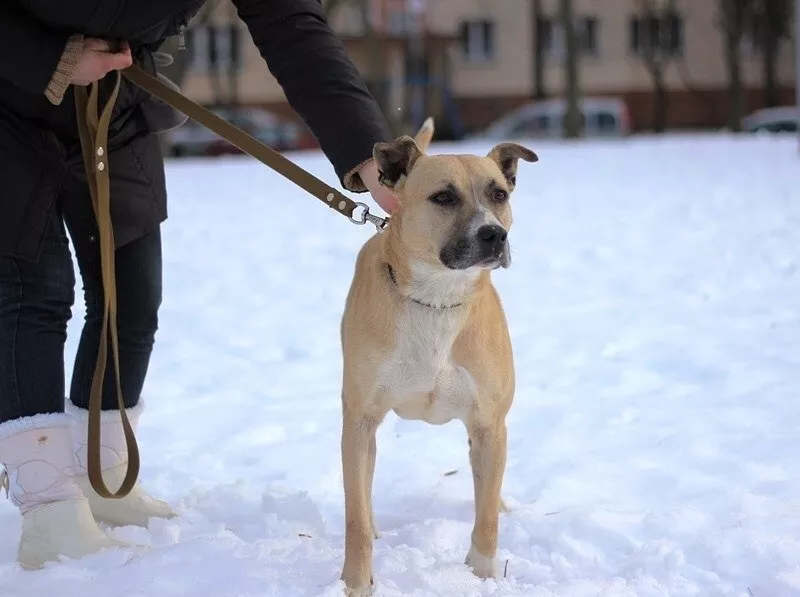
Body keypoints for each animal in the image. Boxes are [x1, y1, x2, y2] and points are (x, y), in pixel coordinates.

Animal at [338, 116, 536, 592]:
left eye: (499, 194)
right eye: (443, 197)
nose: (494, 234)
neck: (437, 298)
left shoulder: (489, 423)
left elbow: (486, 516)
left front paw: (482, 574)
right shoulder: (359, 418)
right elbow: (355, 515)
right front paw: (356, 584)